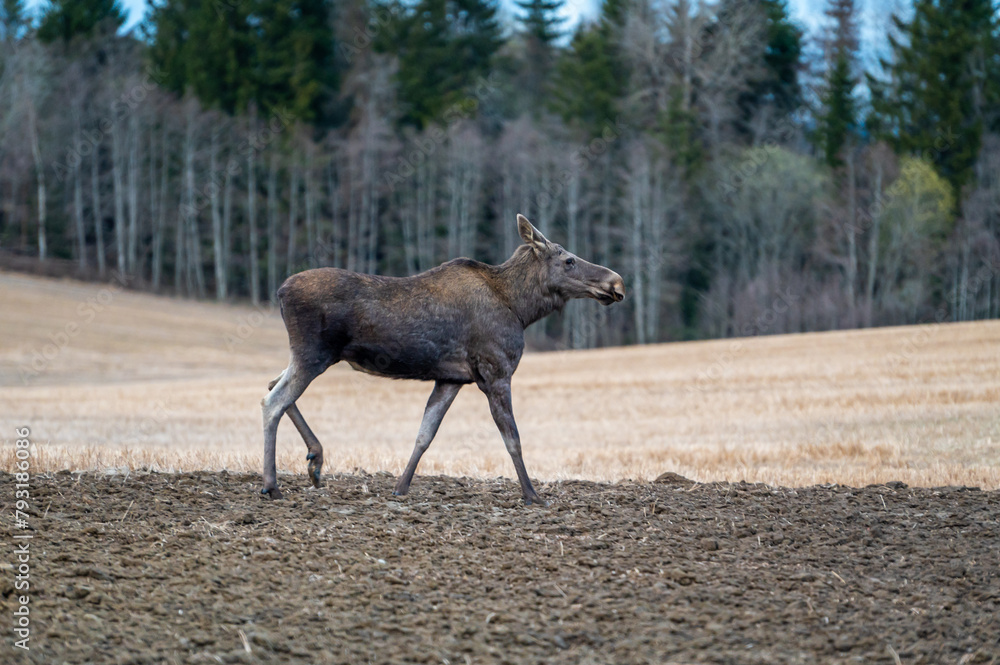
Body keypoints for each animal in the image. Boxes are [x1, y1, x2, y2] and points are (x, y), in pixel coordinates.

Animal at [260, 214, 625, 504]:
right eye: (569, 260)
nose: (617, 282)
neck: (522, 309)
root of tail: (279, 292)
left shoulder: (451, 379)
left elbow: (425, 434)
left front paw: (400, 488)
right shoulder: (496, 371)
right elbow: (513, 439)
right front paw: (533, 495)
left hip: (308, 355)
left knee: (270, 384)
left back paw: (315, 460)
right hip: (314, 354)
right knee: (273, 402)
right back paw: (272, 485)